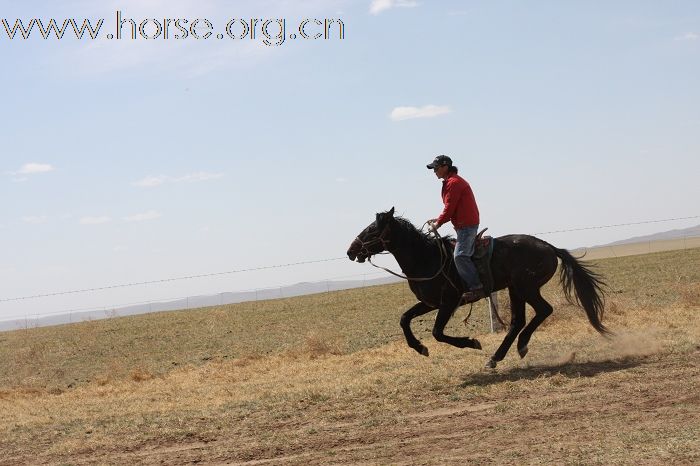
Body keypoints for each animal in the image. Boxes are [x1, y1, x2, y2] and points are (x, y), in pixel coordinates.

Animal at [348, 208, 608, 368]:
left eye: (372, 229)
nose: (351, 250)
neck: (426, 258)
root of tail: (549, 246)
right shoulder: (430, 303)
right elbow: (404, 318)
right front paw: (420, 348)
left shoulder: (449, 302)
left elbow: (438, 333)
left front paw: (471, 342)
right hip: (515, 289)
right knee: (518, 321)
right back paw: (498, 356)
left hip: (527, 288)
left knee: (543, 311)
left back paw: (519, 346)